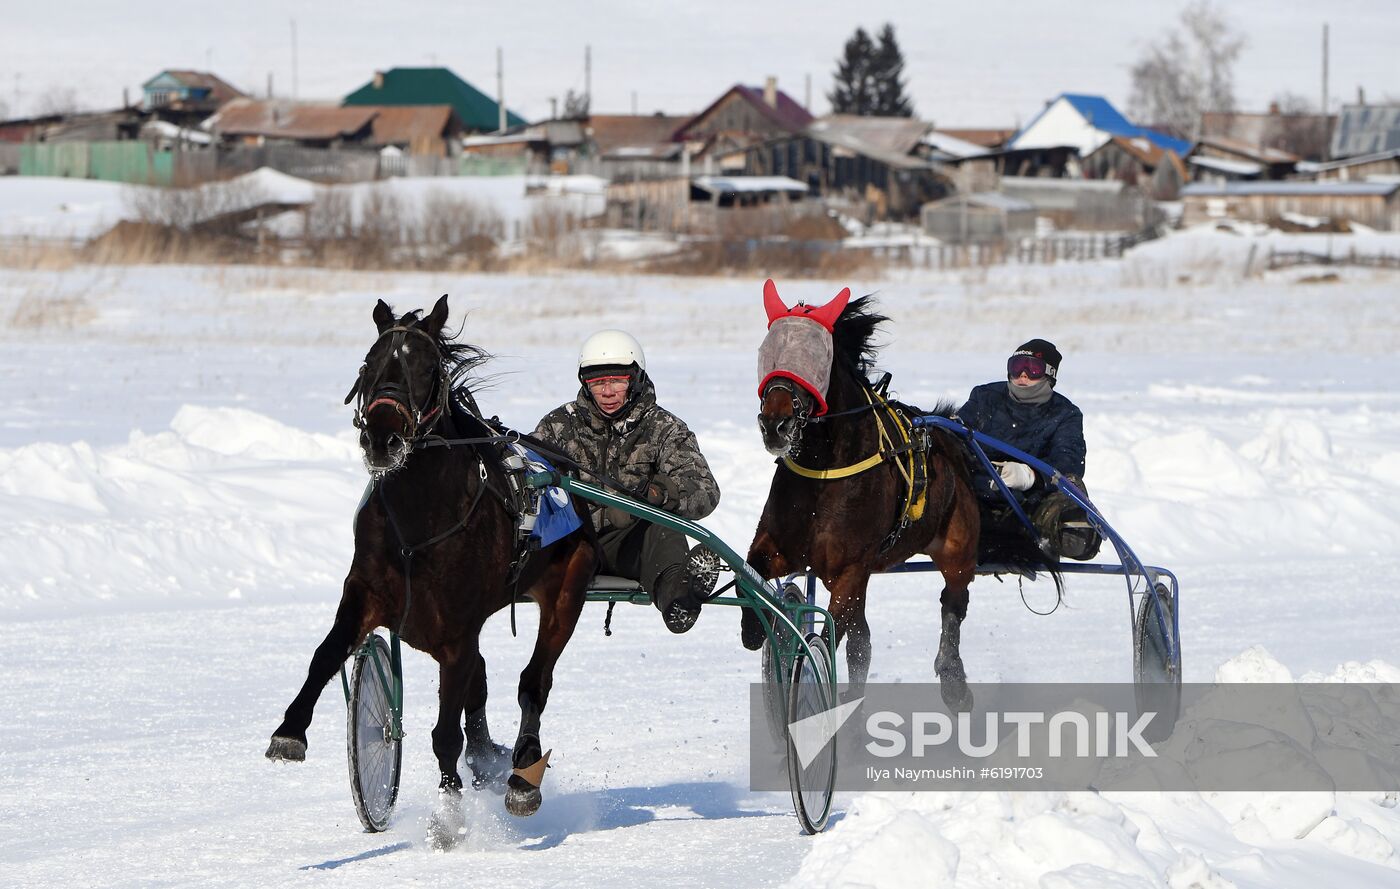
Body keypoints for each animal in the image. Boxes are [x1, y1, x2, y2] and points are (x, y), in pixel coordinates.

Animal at [265, 295, 597, 836]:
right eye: (370, 363)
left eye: (425, 368)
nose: (382, 439)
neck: (421, 521)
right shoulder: (367, 592)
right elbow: (326, 653)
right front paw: (290, 731)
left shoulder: (456, 632)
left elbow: (445, 733)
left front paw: (449, 817)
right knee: (482, 685)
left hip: (569, 588)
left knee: (535, 681)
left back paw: (522, 774)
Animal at [742, 280, 985, 711]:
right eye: (767, 351)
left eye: (817, 355)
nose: (775, 424)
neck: (825, 472)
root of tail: (951, 437)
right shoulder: (780, 546)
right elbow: (752, 576)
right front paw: (756, 629)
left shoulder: (850, 571)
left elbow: (828, 637)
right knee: (863, 642)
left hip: (957, 546)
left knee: (953, 601)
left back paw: (954, 681)